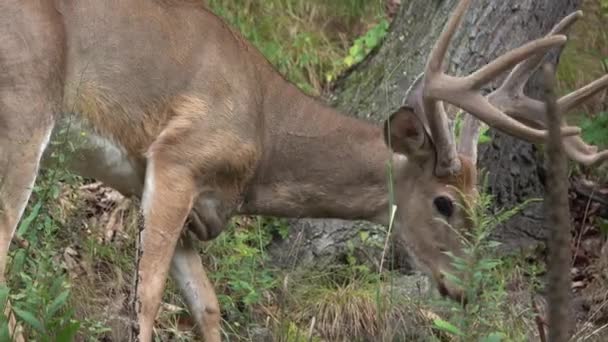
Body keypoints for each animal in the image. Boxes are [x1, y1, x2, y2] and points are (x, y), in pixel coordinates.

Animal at [1, 0, 608, 342]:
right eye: (444, 203)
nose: (466, 290)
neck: (266, 134)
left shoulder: (183, 197)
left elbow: (207, 306)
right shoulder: (179, 157)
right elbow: (146, 296)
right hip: (24, 111)